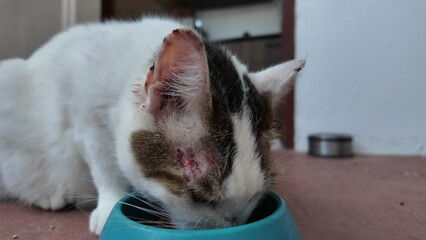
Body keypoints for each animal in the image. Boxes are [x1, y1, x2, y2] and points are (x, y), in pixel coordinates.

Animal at [0, 17, 306, 234]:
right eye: (201, 198)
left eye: (255, 197)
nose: (232, 224)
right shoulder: (85, 116)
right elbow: (104, 168)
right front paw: (109, 206)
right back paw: (48, 196)